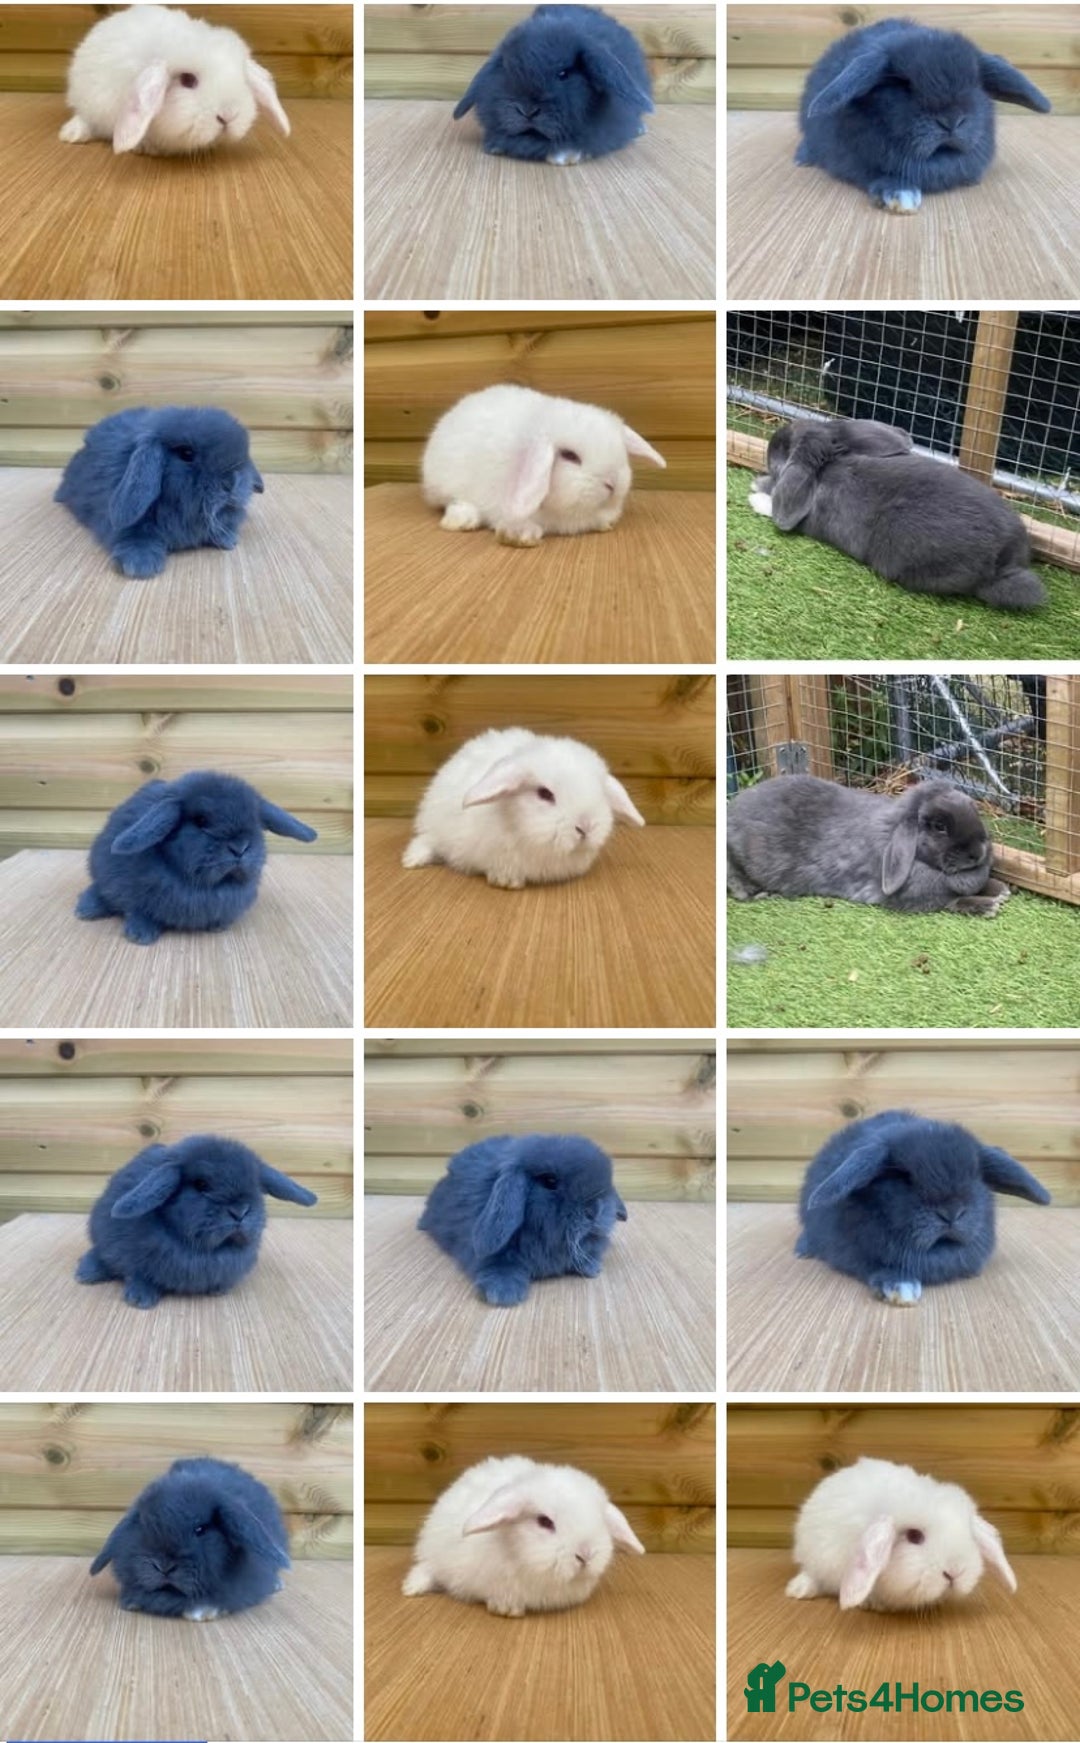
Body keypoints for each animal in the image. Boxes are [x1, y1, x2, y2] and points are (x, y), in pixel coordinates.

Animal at [75, 769, 318, 945]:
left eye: (256, 822)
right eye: (201, 821)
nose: (240, 848)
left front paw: (219, 926)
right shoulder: (133, 894)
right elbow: (139, 911)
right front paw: (140, 936)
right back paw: (85, 910)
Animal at [75, 1135, 319, 1309]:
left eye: (256, 1186)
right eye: (201, 1184)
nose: (240, 1211)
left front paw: (220, 1290)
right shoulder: (132, 1258)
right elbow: (139, 1274)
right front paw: (139, 1299)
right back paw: (85, 1273)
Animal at [402, 726, 645, 889]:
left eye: (600, 792)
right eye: (545, 794)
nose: (586, 827)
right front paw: (506, 881)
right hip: (435, 825)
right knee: (427, 840)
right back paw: (411, 861)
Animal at [402, 1455, 645, 1616]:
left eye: (600, 1520)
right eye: (544, 1522)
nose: (585, 1555)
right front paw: (506, 1609)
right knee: (427, 1568)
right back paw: (411, 1588)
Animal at [727, 774, 1010, 918]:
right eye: (939, 826)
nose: (978, 853)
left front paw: (1000, 889)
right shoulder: (915, 898)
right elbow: (951, 901)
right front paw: (988, 905)